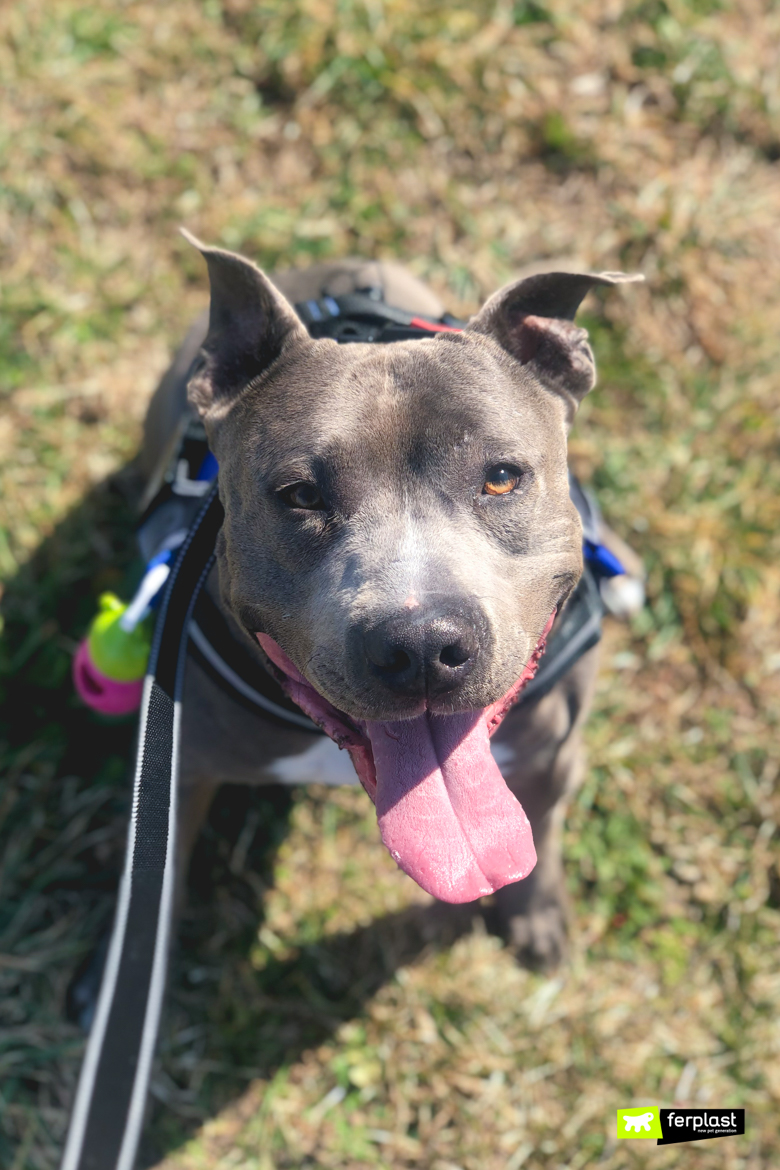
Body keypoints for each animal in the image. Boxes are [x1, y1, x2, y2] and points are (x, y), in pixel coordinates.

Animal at [138, 237, 640, 968]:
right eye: (301, 495)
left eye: (501, 478)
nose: (423, 644)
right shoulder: (177, 773)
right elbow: (158, 882)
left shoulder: (553, 755)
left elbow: (543, 832)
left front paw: (536, 914)